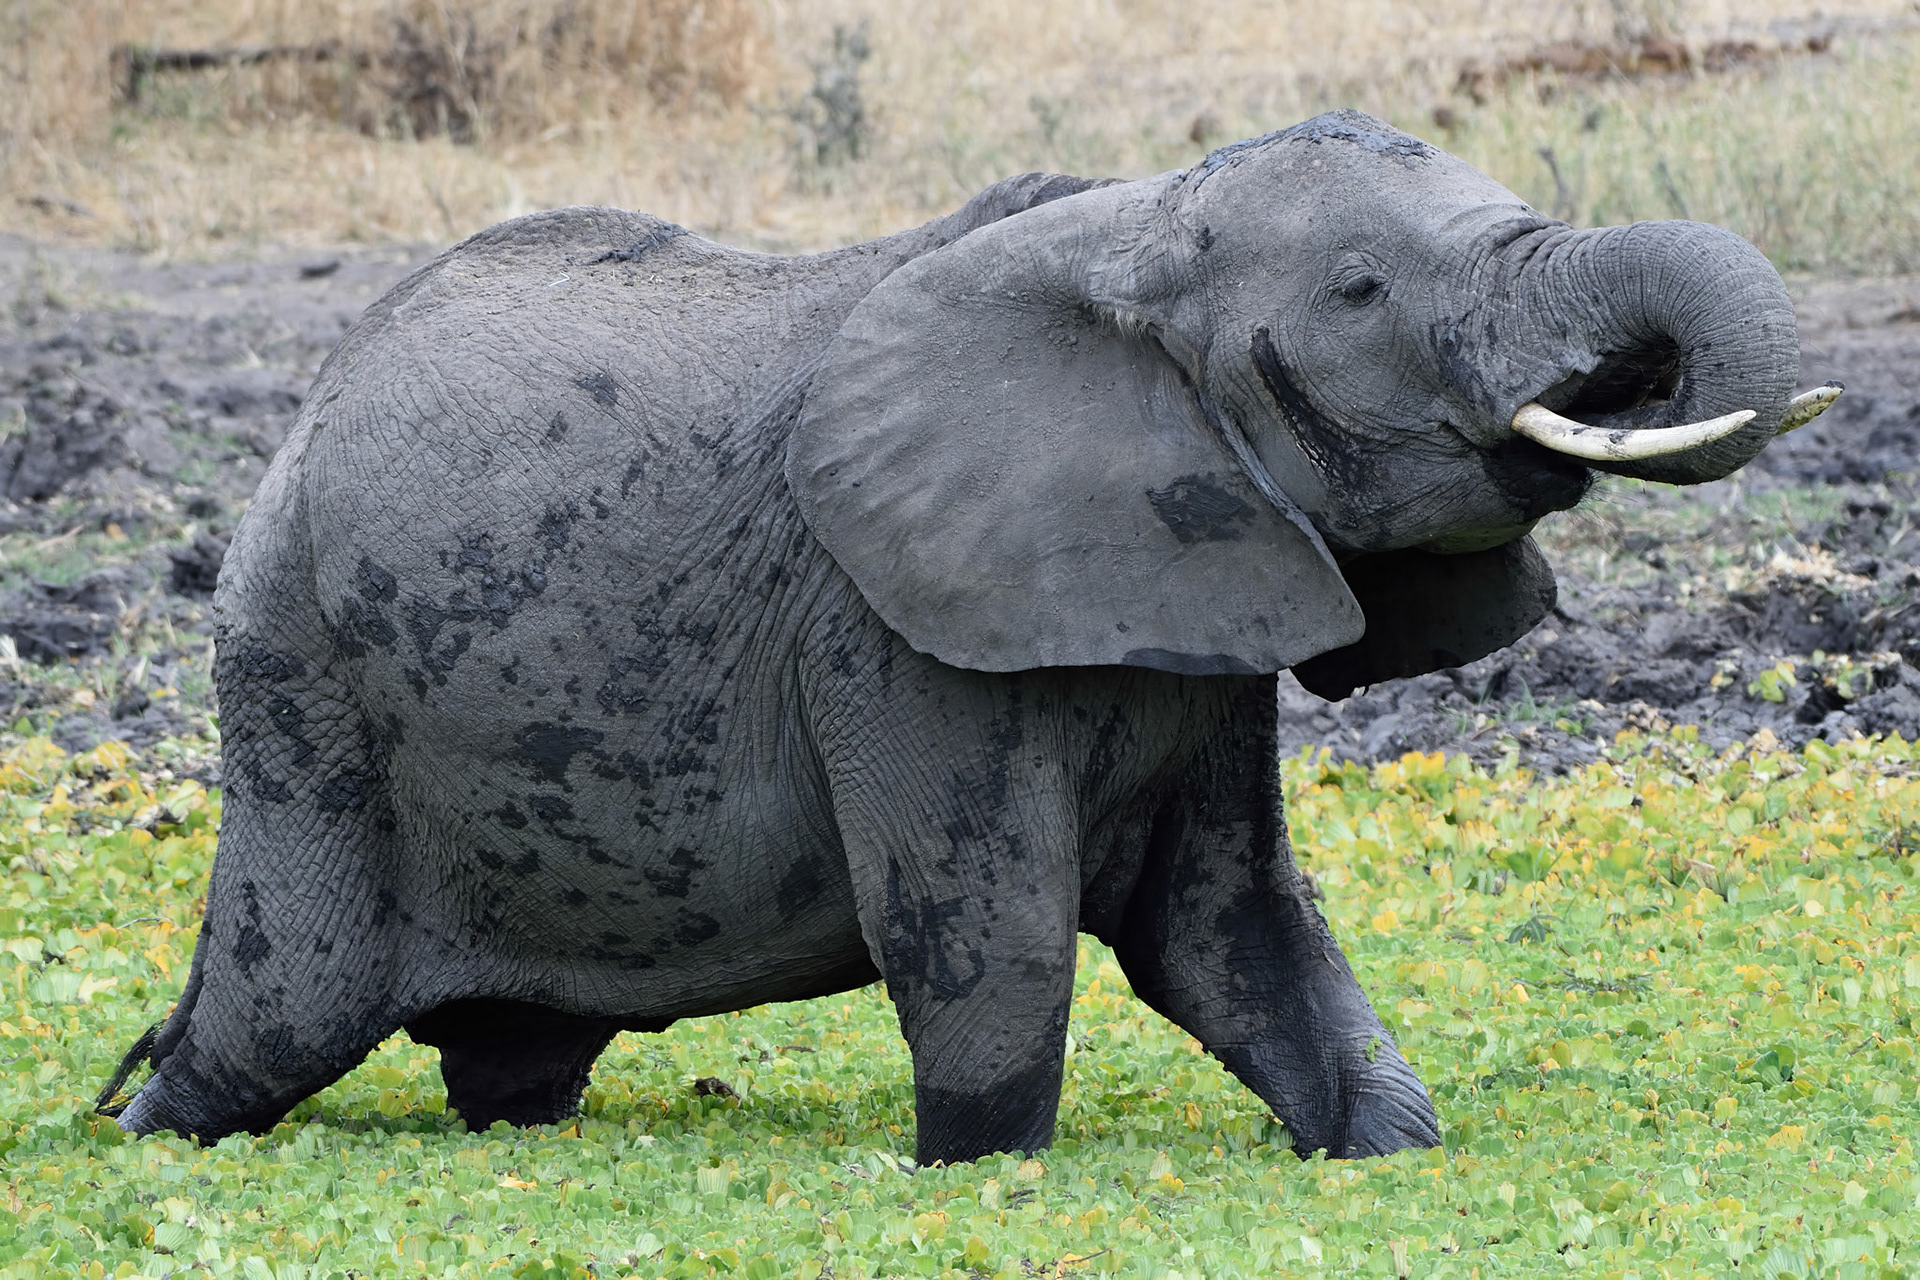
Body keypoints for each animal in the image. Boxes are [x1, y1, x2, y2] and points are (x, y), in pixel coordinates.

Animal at [103, 109, 1838, 1164]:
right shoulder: (888, 621)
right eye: (1359, 291)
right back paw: (142, 1128)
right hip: (302, 684)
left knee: (506, 1065)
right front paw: (976, 1171)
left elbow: (1234, 927)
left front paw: (1378, 1150)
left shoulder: (1201, 595)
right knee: (277, 1018)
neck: (1141, 225)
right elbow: (981, 928)